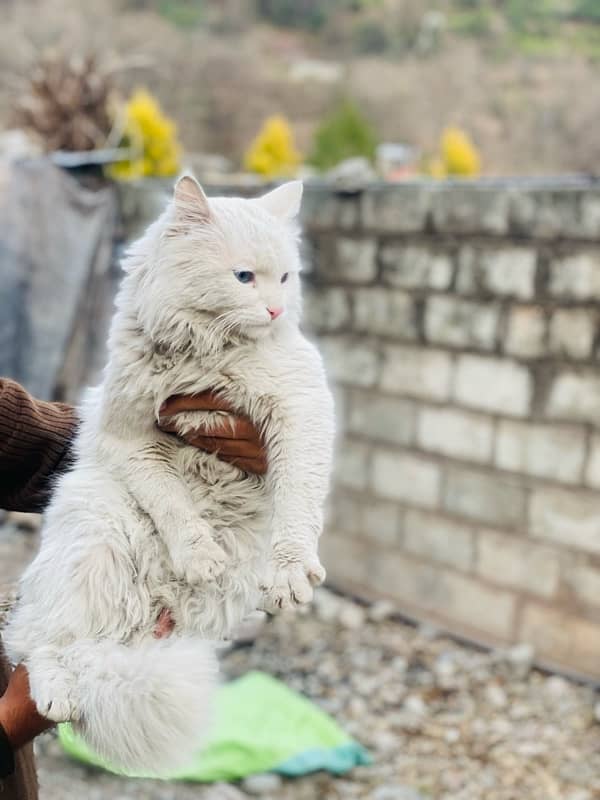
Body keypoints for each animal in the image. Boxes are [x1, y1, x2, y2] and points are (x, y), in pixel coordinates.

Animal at [3, 177, 332, 776]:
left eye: (286, 277)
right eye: (244, 277)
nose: (276, 310)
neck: (207, 355)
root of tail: (132, 626)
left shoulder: (301, 410)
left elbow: (299, 499)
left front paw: (291, 574)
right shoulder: (127, 437)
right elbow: (172, 502)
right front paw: (198, 554)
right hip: (91, 538)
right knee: (41, 644)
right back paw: (56, 693)